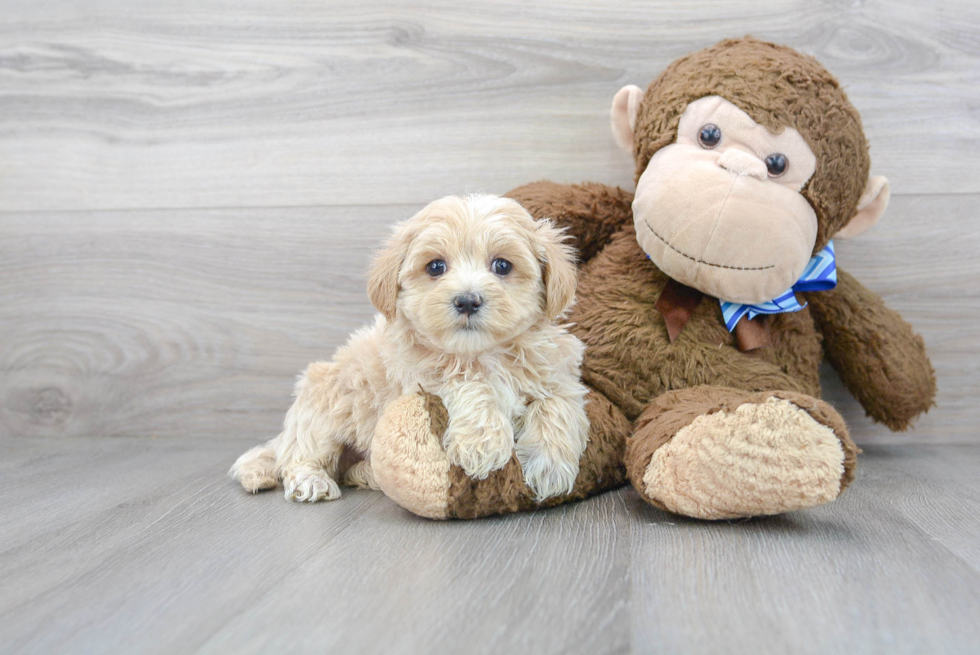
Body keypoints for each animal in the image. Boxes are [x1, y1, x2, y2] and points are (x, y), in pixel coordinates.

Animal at [230, 195, 588, 502]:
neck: (481, 353)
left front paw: (550, 466)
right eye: (435, 267)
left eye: (502, 266)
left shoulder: (557, 374)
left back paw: (367, 474)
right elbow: (469, 382)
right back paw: (311, 480)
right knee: (300, 456)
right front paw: (483, 443)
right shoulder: (421, 378)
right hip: (324, 406)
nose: (467, 300)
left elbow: (557, 404)